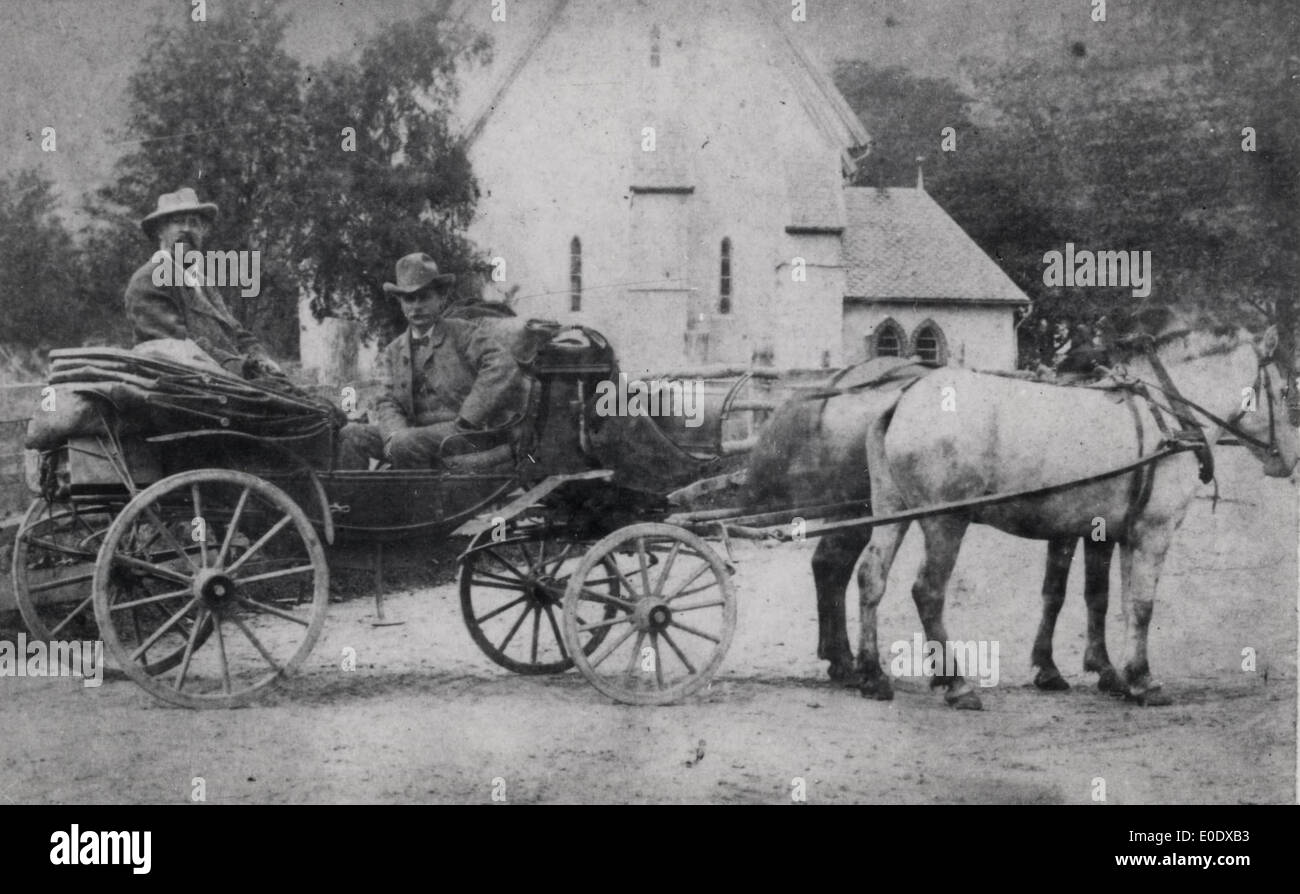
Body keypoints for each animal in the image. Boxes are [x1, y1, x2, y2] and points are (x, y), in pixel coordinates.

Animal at [857, 324, 1294, 706]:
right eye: (1286, 390)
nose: (1290, 461)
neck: (1167, 417)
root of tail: (903, 397)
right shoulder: (1154, 531)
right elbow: (1142, 605)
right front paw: (1144, 681)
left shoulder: (1115, 531)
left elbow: (1108, 600)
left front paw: (1117, 675)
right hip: (945, 520)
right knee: (928, 591)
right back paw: (957, 684)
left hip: (892, 509)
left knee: (871, 578)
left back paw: (873, 674)